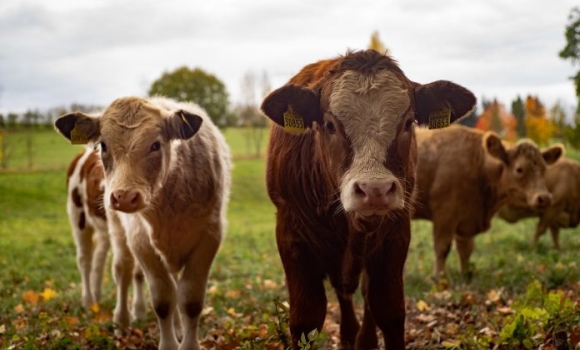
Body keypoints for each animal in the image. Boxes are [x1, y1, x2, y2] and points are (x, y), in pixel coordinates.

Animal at [65, 146, 146, 322]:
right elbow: (123, 267)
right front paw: (122, 318)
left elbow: (139, 272)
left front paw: (139, 311)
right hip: (78, 216)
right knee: (84, 259)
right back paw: (88, 300)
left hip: (104, 229)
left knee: (98, 258)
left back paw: (96, 297)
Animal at [262, 50, 476, 350]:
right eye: (330, 125)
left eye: (408, 123)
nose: (375, 189)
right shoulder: (291, 236)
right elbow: (306, 319)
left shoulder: (395, 236)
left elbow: (389, 310)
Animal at [412, 124, 560, 280]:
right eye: (519, 169)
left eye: (544, 169)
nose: (545, 197)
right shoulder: (445, 215)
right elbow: (442, 248)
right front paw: (438, 279)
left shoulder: (467, 220)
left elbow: (466, 250)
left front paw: (465, 276)